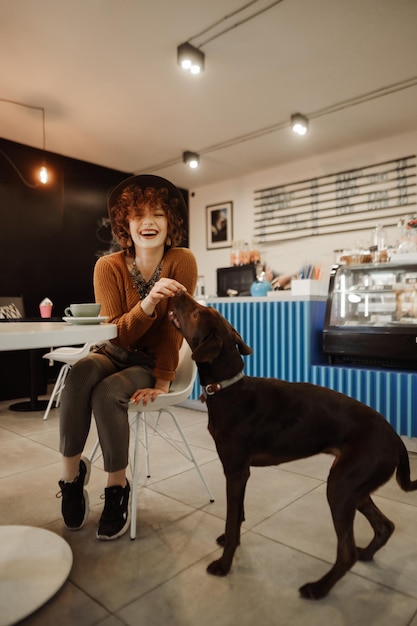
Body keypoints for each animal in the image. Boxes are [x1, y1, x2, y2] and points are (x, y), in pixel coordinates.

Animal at [169, 290, 416, 596]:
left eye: (196, 313)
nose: (178, 291)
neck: (229, 388)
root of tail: (395, 438)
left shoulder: (235, 472)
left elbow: (232, 518)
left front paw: (224, 565)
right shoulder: (241, 473)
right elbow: (237, 517)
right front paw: (229, 539)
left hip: (341, 487)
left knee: (347, 552)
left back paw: (319, 588)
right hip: (355, 487)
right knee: (385, 526)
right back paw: (366, 554)